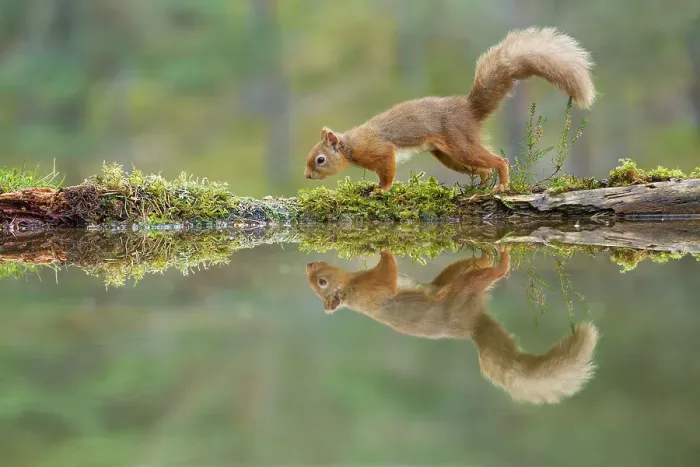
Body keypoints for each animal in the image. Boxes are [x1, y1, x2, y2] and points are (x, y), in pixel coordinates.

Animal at [304, 27, 596, 193]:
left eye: (320, 159)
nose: (307, 176)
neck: (351, 145)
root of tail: (467, 108)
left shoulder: (381, 150)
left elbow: (387, 171)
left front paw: (381, 190)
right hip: (449, 156)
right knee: (482, 170)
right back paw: (479, 187)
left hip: (459, 144)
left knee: (496, 162)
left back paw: (501, 183)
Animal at [305, 248, 599, 404]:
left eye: (320, 282)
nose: (309, 264)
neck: (352, 290)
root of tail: (471, 323)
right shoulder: (376, 289)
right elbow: (388, 275)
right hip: (463, 290)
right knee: (487, 273)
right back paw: (502, 262)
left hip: (456, 276)